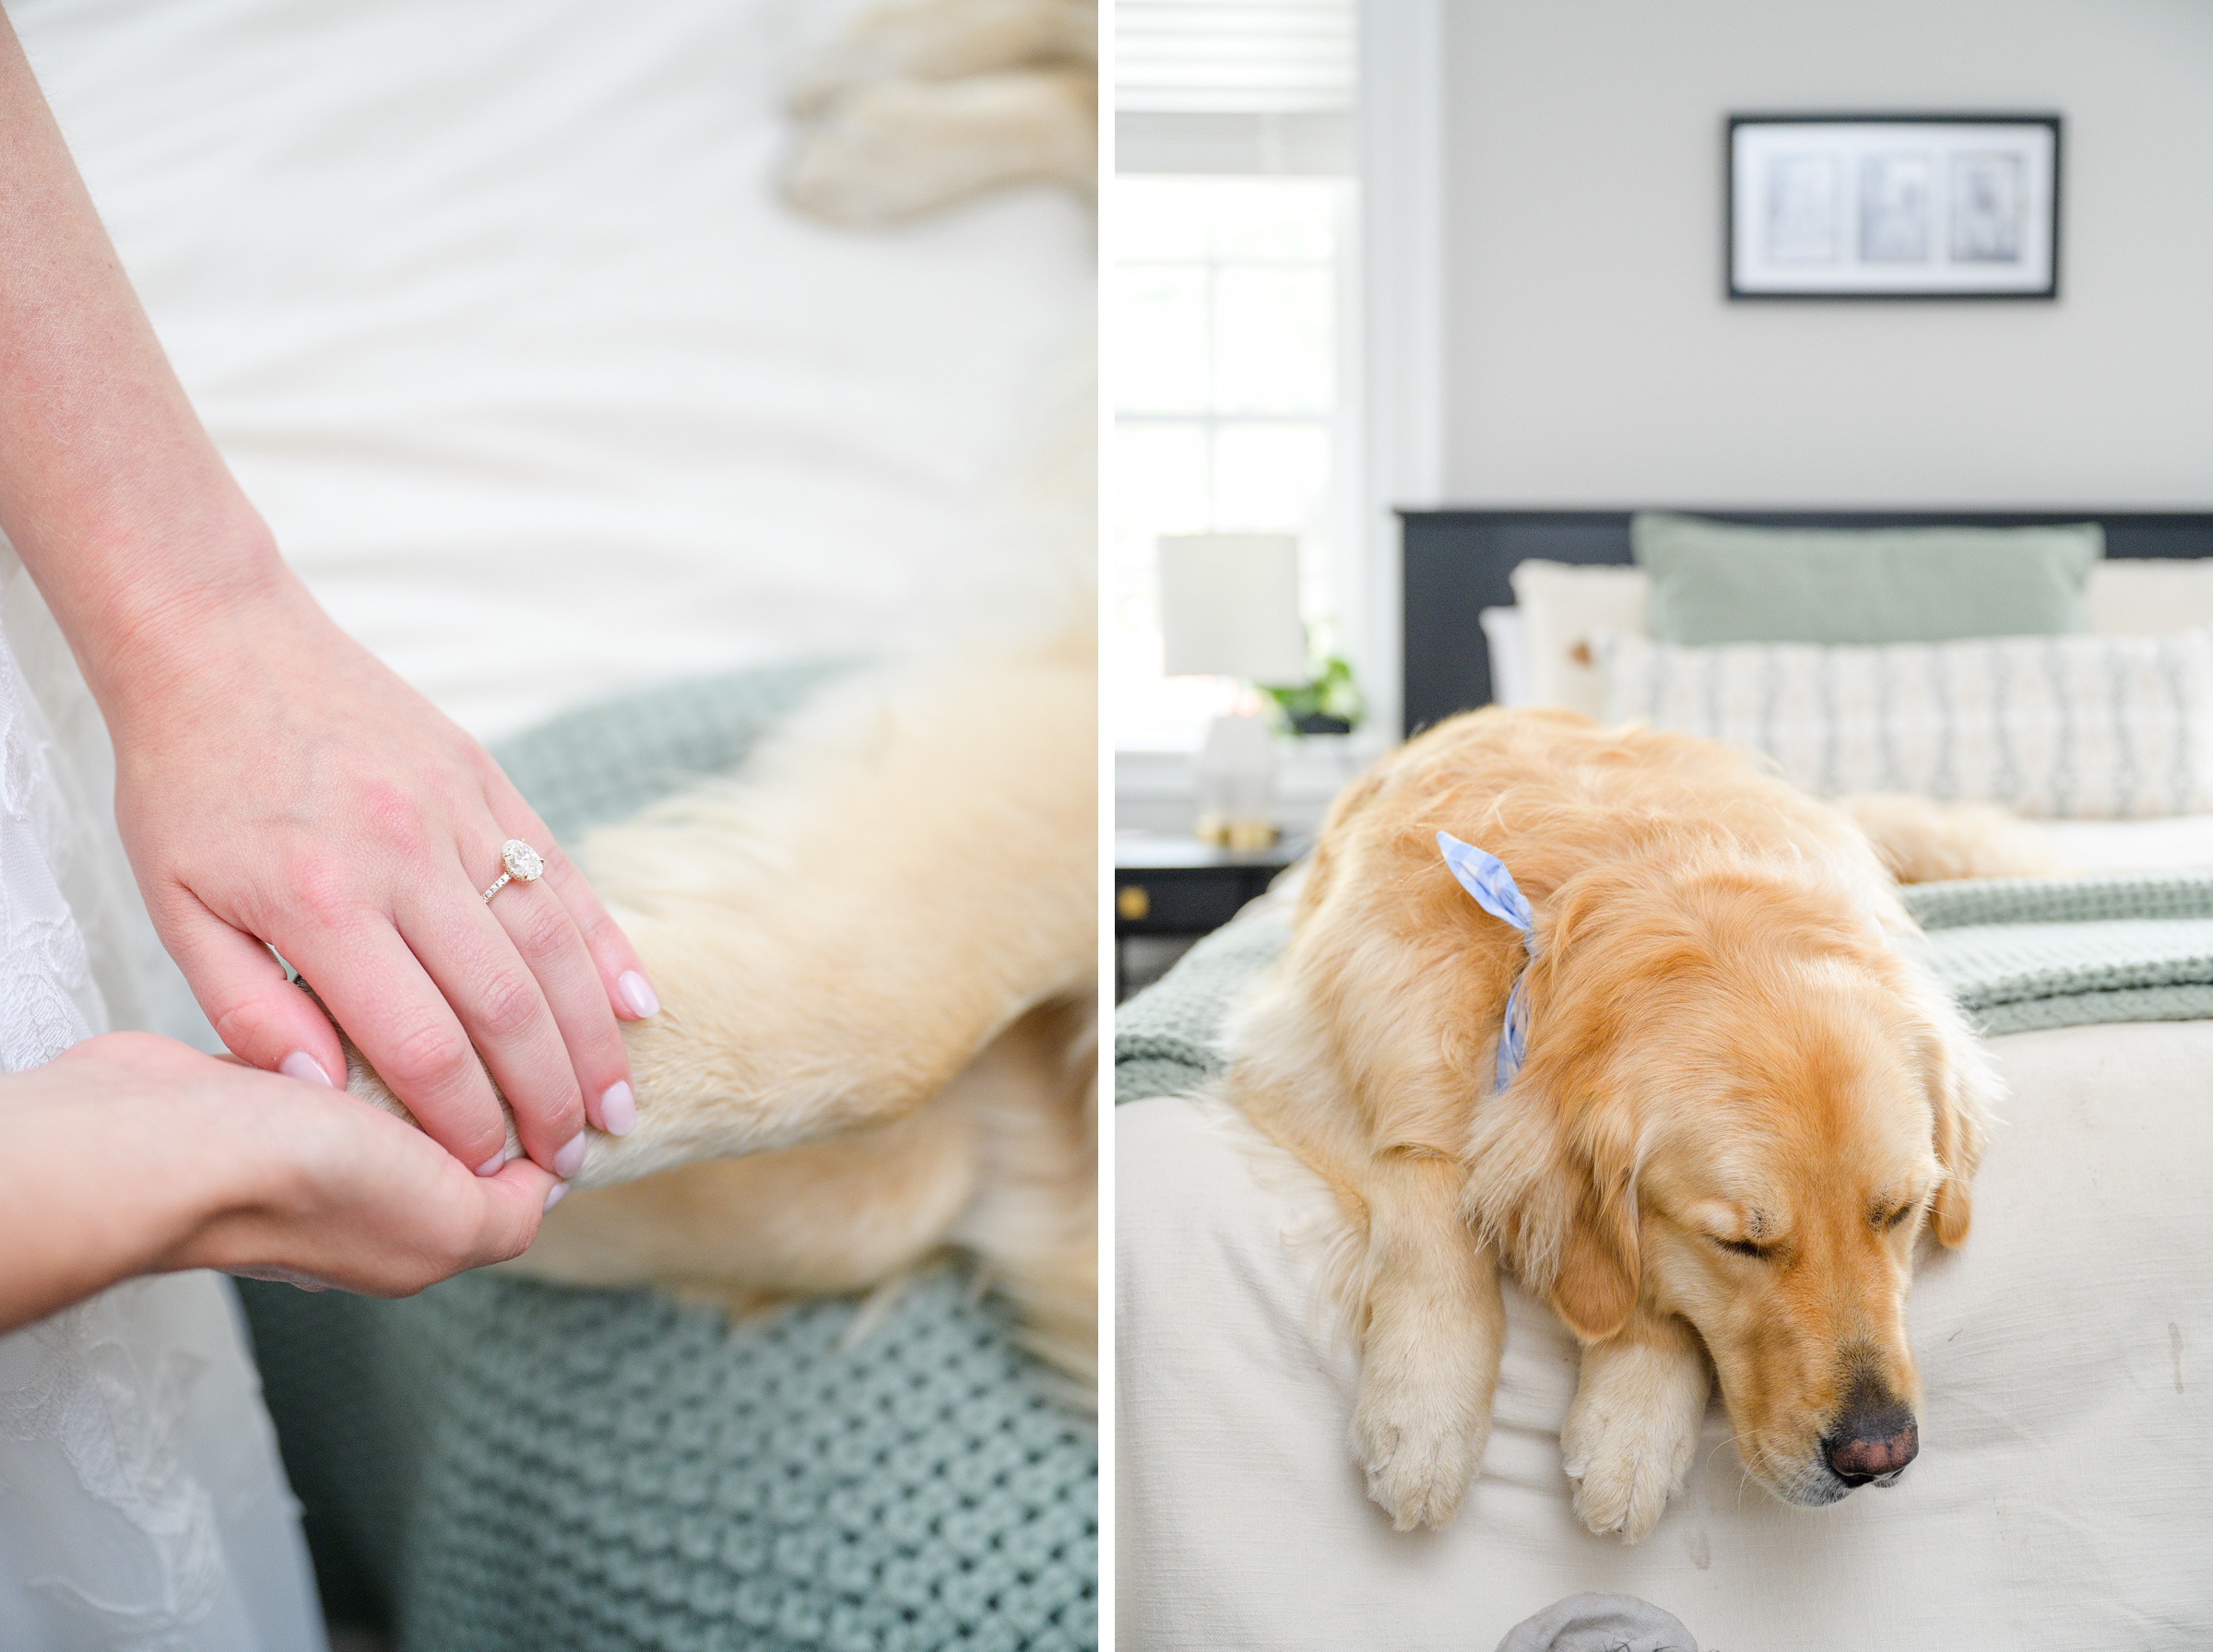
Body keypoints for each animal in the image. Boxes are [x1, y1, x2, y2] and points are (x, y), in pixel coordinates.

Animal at [1230, 707, 2027, 1539]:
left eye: (1901, 1211)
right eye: (1738, 1244)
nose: (1878, 1455)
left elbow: (1646, 1291)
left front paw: (1633, 1425)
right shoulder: (1301, 1058)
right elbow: (1425, 1179)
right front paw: (1424, 1415)